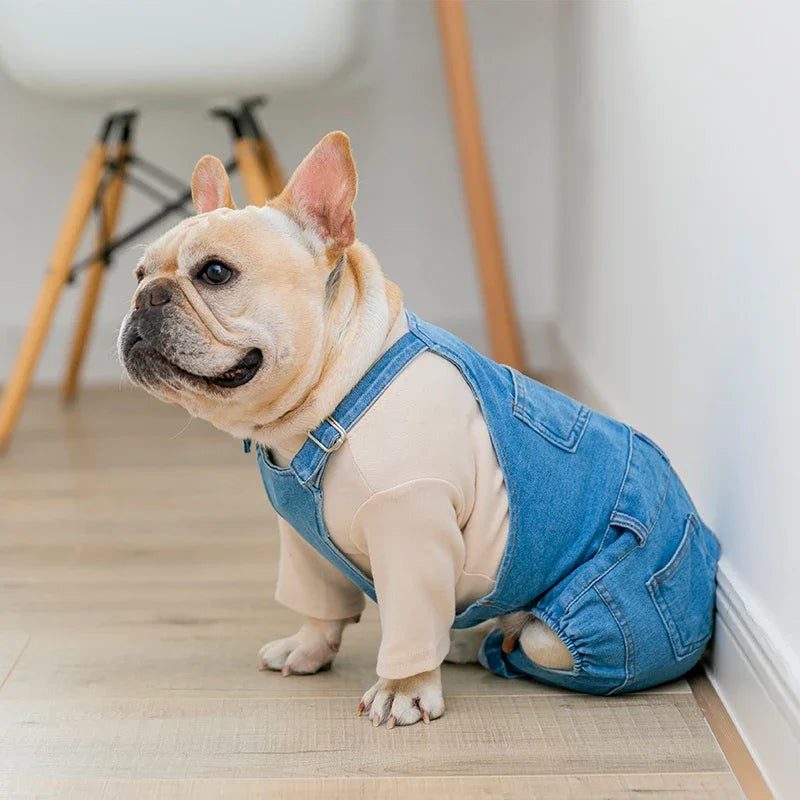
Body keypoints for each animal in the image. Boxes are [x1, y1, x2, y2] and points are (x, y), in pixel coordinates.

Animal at [117, 133, 568, 732]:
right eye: (140, 274)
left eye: (215, 273)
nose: (147, 296)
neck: (335, 399)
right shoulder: (303, 541)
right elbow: (320, 601)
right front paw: (308, 648)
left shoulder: (410, 524)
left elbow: (410, 620)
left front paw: (403, 689)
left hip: (557, 633)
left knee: (532, 640)